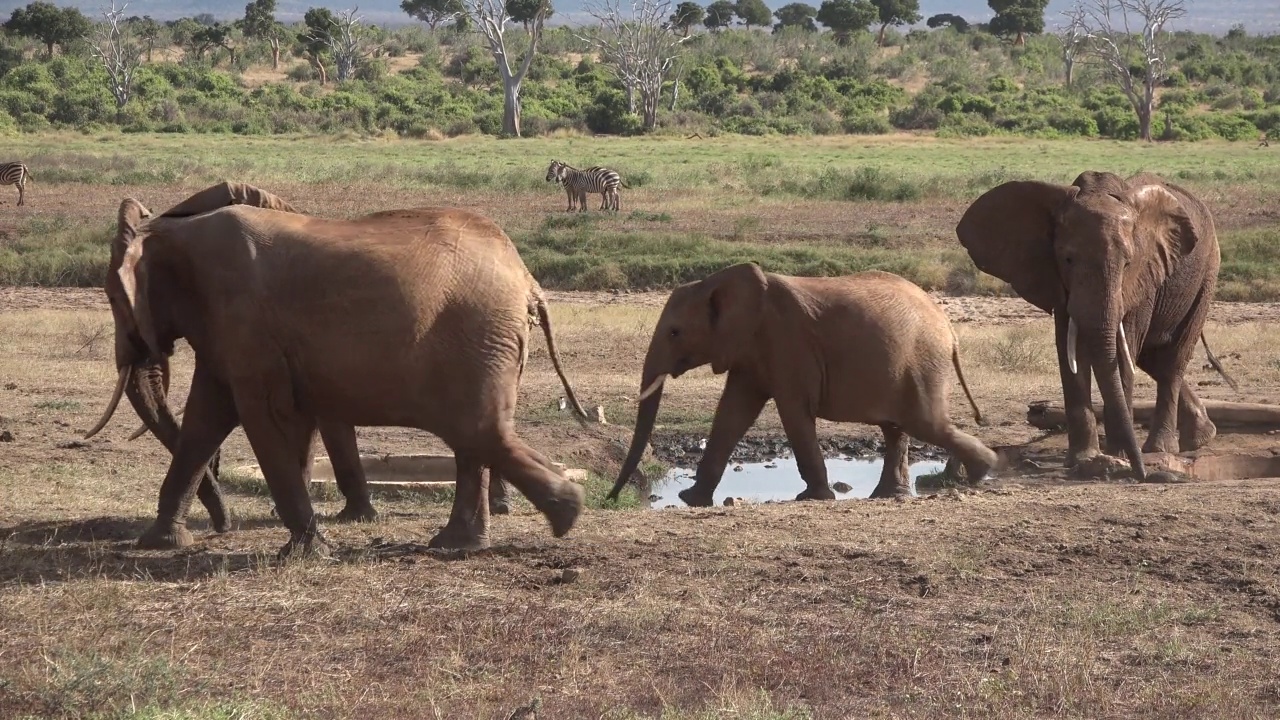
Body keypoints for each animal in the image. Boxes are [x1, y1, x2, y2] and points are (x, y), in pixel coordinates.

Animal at [86, 180, 588, 556]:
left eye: (112, 296)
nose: (222, 527)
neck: (170, 228)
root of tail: (526, 277)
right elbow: (206, 418)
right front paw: (160, 542)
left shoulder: (244, 319)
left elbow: (261, 415)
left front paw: (307, 551)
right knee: (473, 434)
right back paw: (463, 542)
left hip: (479, 334)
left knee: (474, 426)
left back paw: (566, 513)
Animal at [604, 260, 993, 502]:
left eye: (674, 332)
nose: (611, 498)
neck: (716, 282)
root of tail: (949, 329)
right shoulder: (749, 350)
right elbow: (733, 411)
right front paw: (692, 500)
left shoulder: (788, 343)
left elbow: (792, 410)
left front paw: (814, 498)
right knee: (897, 427)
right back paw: (893, 494)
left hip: (921, 363)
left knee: (925, 423)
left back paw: (982, 472)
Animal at [957, 170, 1233, 479]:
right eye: (1067, 259)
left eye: (1127, 263)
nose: (1141, 475)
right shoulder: (1056, 280)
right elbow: (1070, 352)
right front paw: (1085, 459)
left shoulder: (1142, 277)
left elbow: (1123, 353)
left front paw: (1117, 455)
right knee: (1154, 361)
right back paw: (1201, 435)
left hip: (1207, 274)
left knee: (1172, 360)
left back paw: (1161, 448)